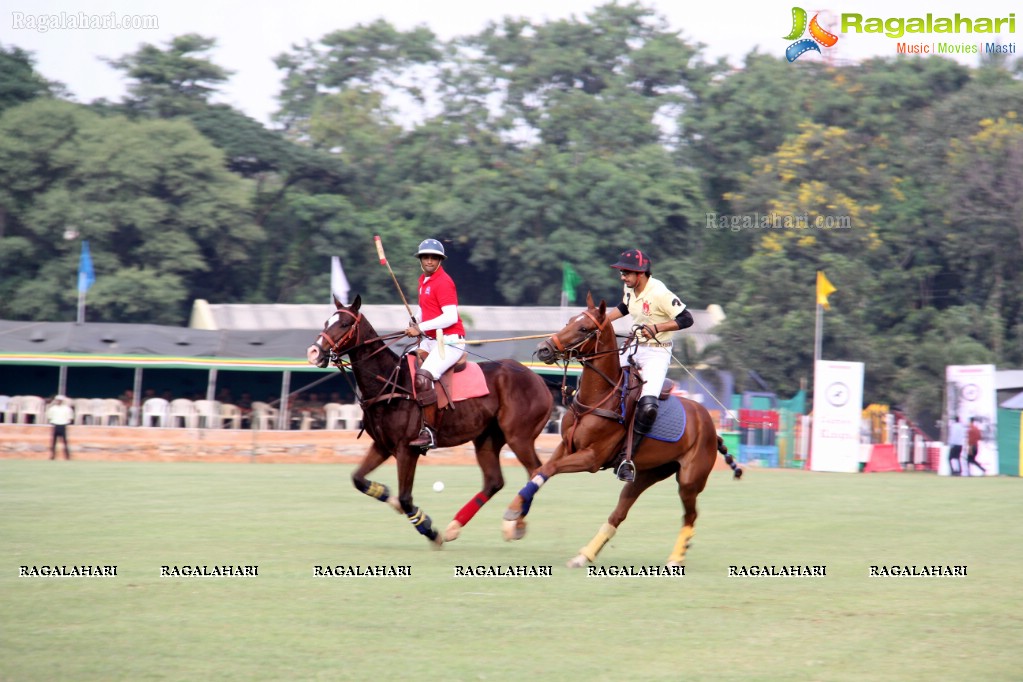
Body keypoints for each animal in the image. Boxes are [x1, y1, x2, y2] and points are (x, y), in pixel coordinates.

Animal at [306, 296, 556, 548]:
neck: (389, 382)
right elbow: (358, 479)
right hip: (487, 438)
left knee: (536, 471)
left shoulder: (407, 449)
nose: (314, 352)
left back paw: (515, 522)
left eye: (345, 324)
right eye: (327, 321)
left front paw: (428, 529)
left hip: (519, 436)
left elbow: (406, 498)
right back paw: (455, 527)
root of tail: (540, 380)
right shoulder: (382, 445)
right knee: (494, 481)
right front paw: (391, 499)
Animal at [501, 294, 736, 564]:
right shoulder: (566, 447)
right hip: (647, 473)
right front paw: (517, 514)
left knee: (690, 515)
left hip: (689, 479)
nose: (544, 348)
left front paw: (513, 514)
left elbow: (549, 468)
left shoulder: (591, 458)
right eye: (569, 321)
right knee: (619, 513)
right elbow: (541, 470)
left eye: (584, 328)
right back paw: (584, 556)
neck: (597, 397)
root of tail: (710, 425)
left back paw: (676, 558)